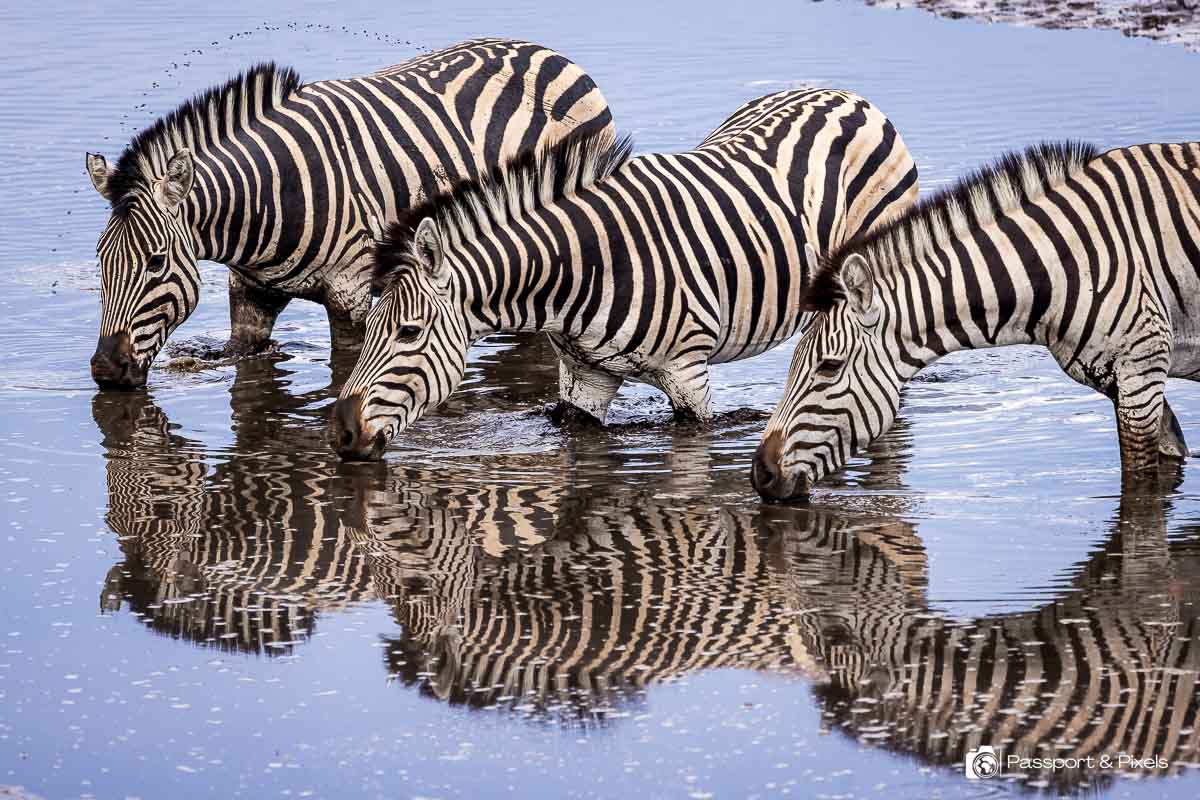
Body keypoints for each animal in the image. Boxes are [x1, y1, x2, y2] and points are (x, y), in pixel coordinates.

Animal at [85, 38, 612, 389]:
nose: (106, 370)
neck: (266, 200)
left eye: (155, 262)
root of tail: (553, 54)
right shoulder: (250, 295)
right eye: (100, 261)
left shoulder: (352, 299)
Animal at [329, 88, 919, 459]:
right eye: (370, 329)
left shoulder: (689, 376)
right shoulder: (584, 380)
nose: (343, 434)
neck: (575, 274)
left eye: (408, 333)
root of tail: (846, 97)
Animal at [753, 141, 1200, 501]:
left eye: (829, 367)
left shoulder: (1141, 369)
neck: (1060, 265)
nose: (760, 474)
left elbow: (1140, 489)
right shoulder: (1122, 380)